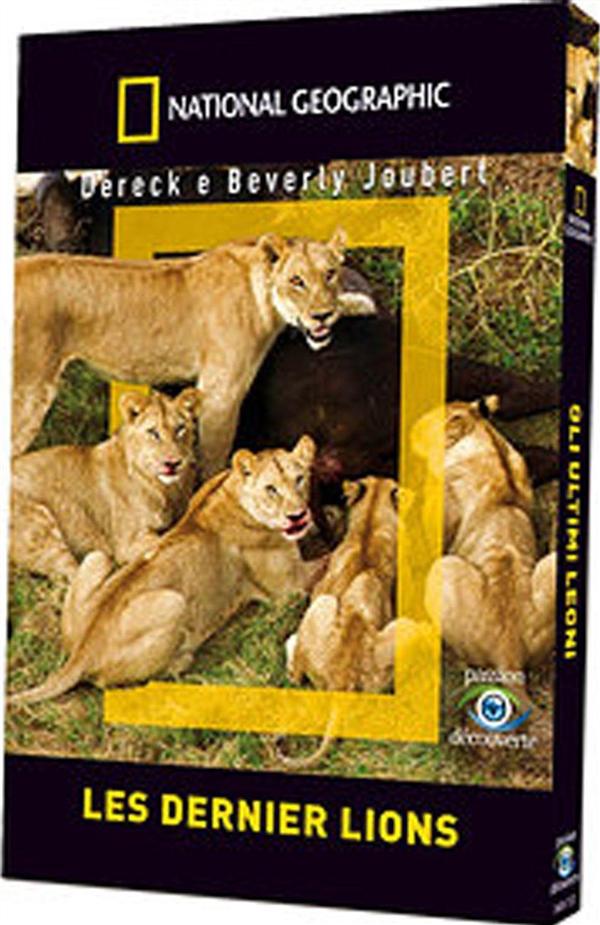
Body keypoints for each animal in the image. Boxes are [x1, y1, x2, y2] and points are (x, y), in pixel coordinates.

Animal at [8, 436, 325, 704]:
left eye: (299, 479)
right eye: (271, 489)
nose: (297, 515)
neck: (231, 486)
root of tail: (82, 652)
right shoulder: (288, 589)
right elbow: (325, 563)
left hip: (97, 559)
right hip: (174, 601)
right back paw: (183, 659)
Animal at [10, 387, 202, 581]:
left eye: (180, 429)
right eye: (153, 432)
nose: (173, 463)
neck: (165, 489)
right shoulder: (127, 542)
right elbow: (167, 540)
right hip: (42, 531)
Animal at [12, 230, 375, 473]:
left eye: (330, 274)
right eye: (296, 280)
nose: (321, 316)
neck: (262, 296)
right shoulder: (221, 392)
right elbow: (214, 460)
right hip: (29, 394)